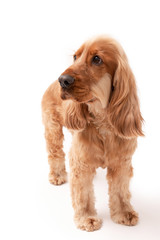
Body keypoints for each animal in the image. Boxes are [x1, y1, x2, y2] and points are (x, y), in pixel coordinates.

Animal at [41, 35, 144, 231]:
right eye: (75, 57)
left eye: (97, 59)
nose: (63, 80)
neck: (103, 122)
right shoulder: (79, 162)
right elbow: (83, 194)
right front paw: (87, 218)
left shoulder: (121, 163)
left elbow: (120, 191)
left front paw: (123, 213)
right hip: (52, 128)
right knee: (55, 153)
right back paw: (57, 175)